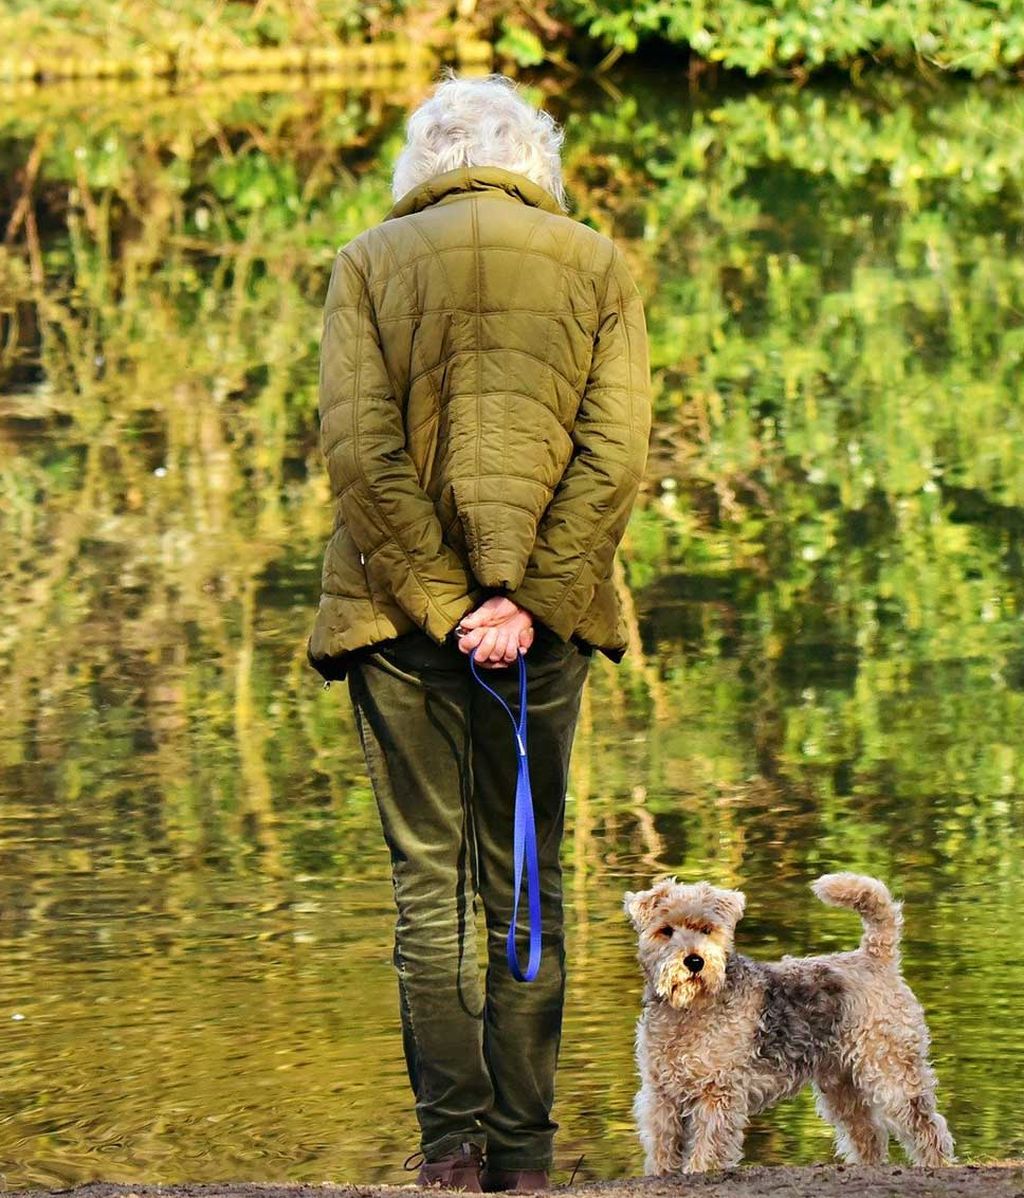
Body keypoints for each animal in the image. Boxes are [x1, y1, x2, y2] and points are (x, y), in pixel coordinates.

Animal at [622, 876, 958, 1174]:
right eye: (665, 931)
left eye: (707, 929)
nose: (694, 962)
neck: (688, 1011)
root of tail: (874, 957)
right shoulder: (660, 1093)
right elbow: (663, 1143)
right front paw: (661, 1173)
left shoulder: (718, 1092)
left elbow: (709, 1142)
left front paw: (700, 1170)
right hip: (842, 1085)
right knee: (870, 1135)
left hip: (892, 1072)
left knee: (928, 1127)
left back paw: (937, 1164)